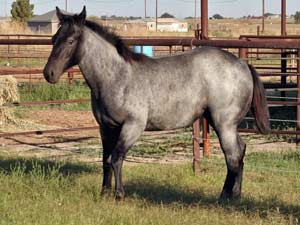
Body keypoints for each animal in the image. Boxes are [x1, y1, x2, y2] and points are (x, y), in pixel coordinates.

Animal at [43, 7, 270, 200]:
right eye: (54, 38)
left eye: (71, 40)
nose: (49, 73)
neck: (117, 77)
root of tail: (242, 64)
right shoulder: (106, 128)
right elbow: (105, 160)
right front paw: (104, 193)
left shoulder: (132, 126)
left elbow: (116, 158)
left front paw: (119, 195)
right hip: (221, 123)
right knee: (240, 151)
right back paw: (235, 195)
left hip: (224, 125)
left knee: (232, 157)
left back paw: (225, 197)